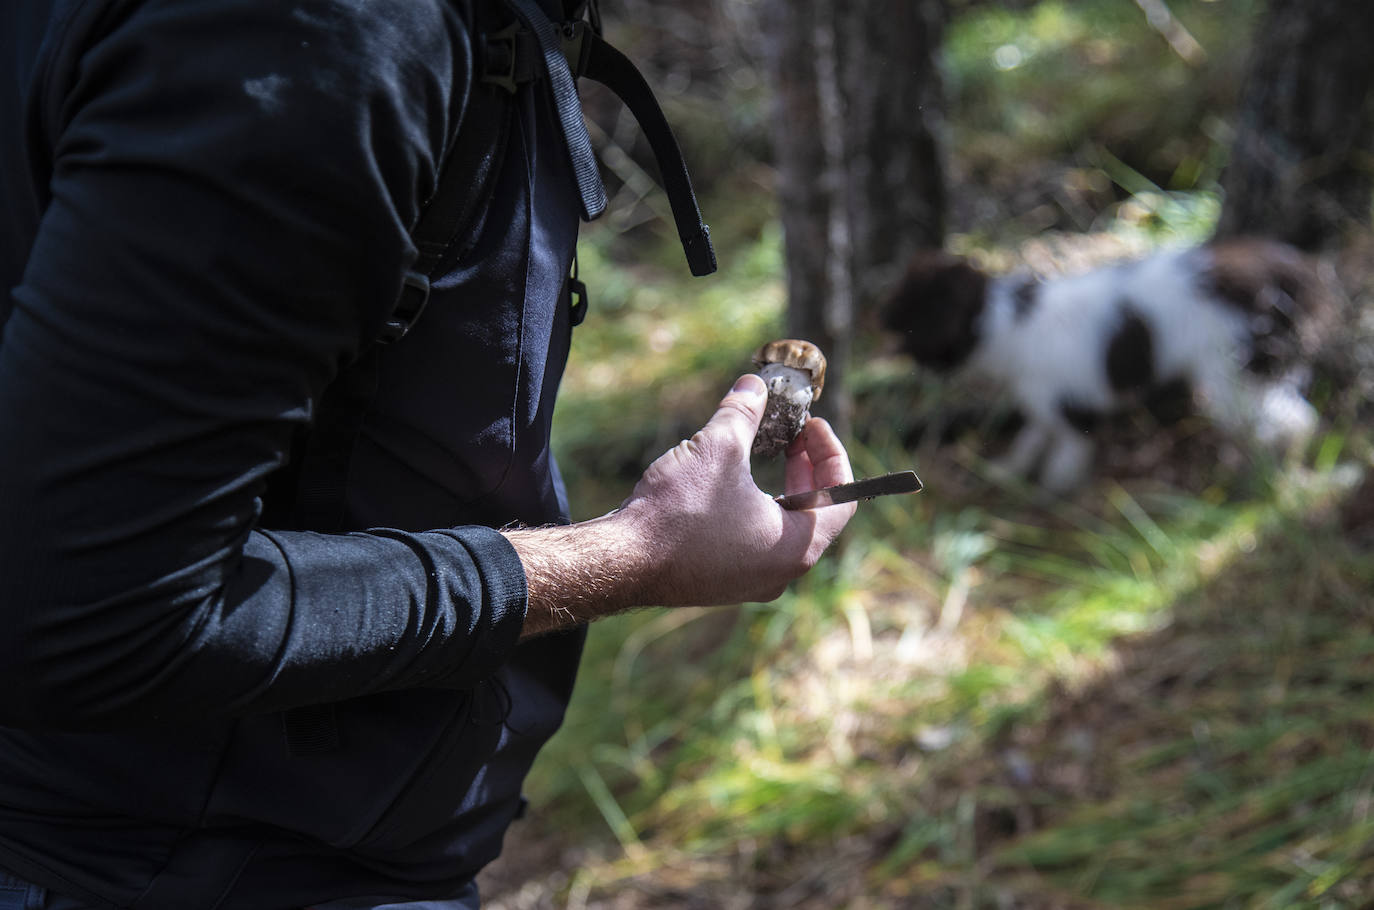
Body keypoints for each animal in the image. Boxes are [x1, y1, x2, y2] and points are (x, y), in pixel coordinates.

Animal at [884, 236, 1324, 492]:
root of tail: (1282, 269)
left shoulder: (1069, 404)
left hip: (1231, 371)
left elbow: (1069, 448)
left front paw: (1054, 486)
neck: (1010, 327)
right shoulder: (1041, 402)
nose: (880, 319)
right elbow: (1033, 436)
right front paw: (1007, 471)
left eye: (909, 317)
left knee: (1287, 419)